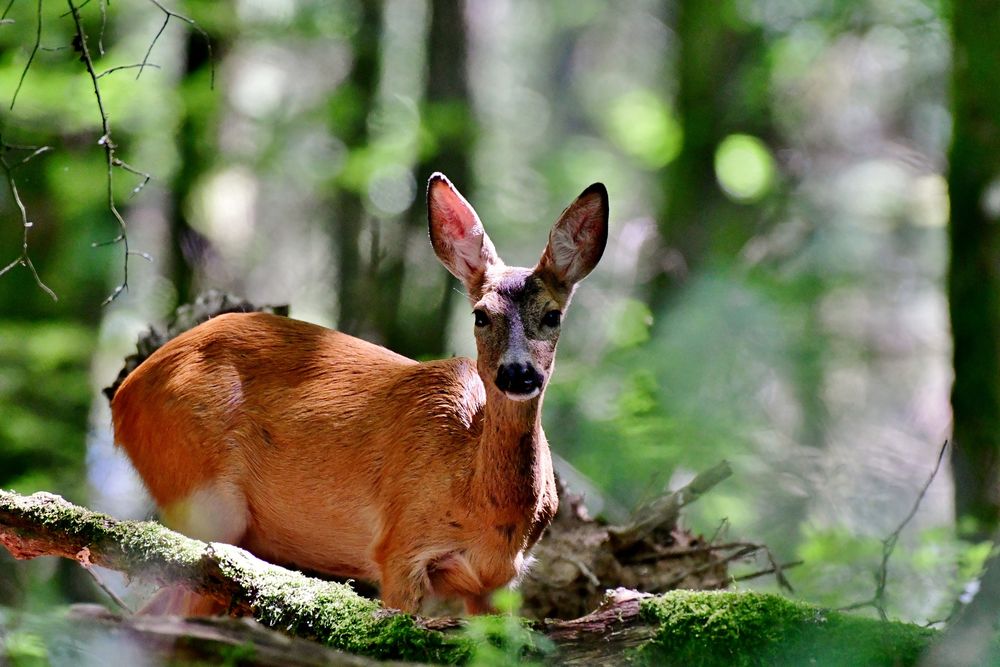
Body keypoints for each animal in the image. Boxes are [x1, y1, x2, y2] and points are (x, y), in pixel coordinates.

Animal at [109, 172, 608, 616]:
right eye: (480, 315)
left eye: (553, 315)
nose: (518, 373)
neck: (482, 505)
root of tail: (124, 397)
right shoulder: (400, 546)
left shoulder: (498, 582)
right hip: (199, 489)